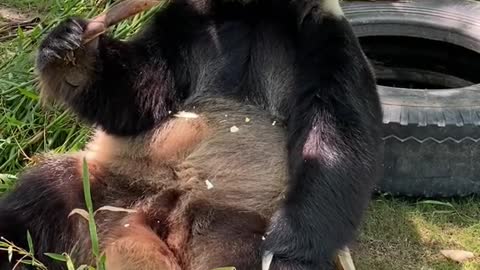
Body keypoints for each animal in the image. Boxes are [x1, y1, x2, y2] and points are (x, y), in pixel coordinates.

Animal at [0, 0, 382, 268]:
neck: (251, 12)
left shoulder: (322, 37)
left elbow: (336, 141)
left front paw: (288, 251)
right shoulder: (186, 26)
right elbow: (138, 95)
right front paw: (71, 49)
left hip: (239, 221)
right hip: (109, 187)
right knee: (43, 198)